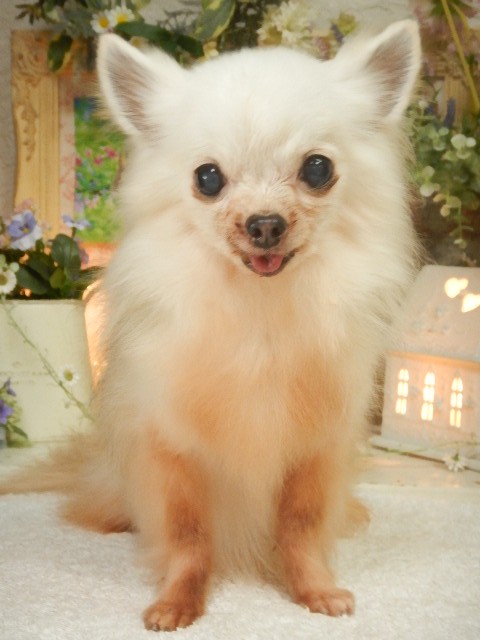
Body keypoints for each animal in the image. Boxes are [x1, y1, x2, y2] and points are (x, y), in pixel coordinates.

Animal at [1, 21, 421, 631]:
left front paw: (315, 589)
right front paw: (177, 602)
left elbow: (301, 526)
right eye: (208, 178)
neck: (260, 317)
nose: (265, 223)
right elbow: (188, 535)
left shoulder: (316, 450)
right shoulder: (172, 452)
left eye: (317, 169)